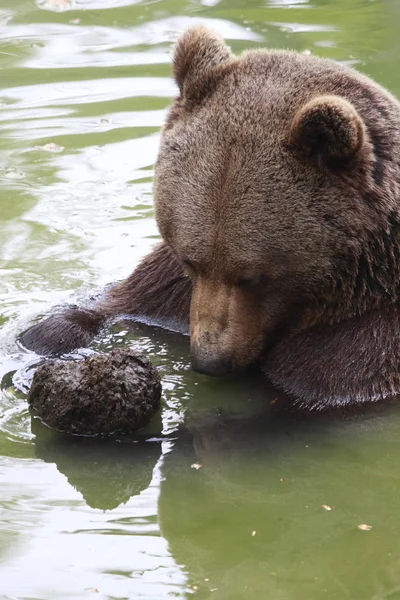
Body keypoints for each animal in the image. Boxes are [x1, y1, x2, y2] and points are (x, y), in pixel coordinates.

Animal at [21, 24, 400, 408]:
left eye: (254, 278)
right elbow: (115, 302)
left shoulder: (362, 350)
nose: (210, 360)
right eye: (190, 261)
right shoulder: (168, 290)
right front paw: (50, 338)